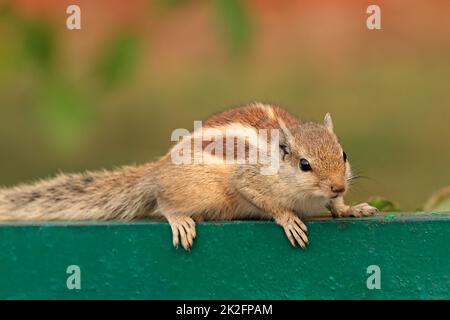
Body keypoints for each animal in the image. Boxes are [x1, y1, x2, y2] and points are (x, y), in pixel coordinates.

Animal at [0, 102, 380, 250]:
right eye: (304, 165)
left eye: (343, 155)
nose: (338, 185)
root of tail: (158, 169)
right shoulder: (249, 180)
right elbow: (264, 199)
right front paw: (288, 219)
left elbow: (336, 207)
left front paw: (350, 208)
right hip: (197, 192)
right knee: (164, 202)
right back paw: (179, 219)